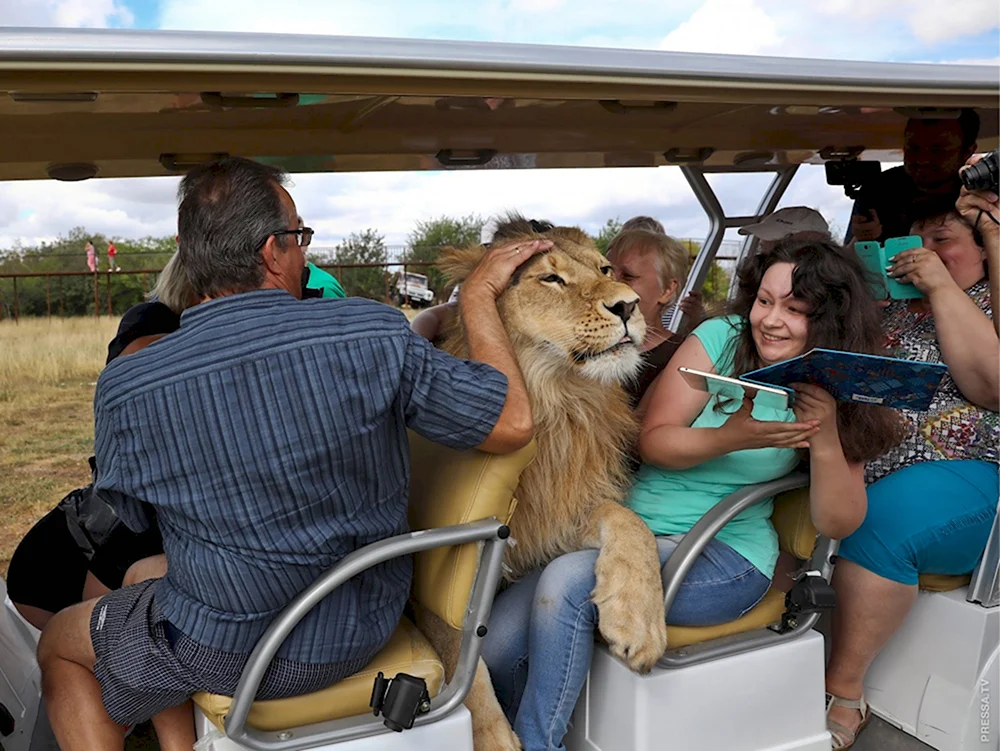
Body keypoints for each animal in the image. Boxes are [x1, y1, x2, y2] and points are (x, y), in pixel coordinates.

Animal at [418, 214, 668, 751]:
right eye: (551, 279)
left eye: (606, 269)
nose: (628, 305)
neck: (556, 405)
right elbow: (463, 668)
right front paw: (495, 739)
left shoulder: (553, 519)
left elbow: (629, 522)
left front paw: (637, 620)